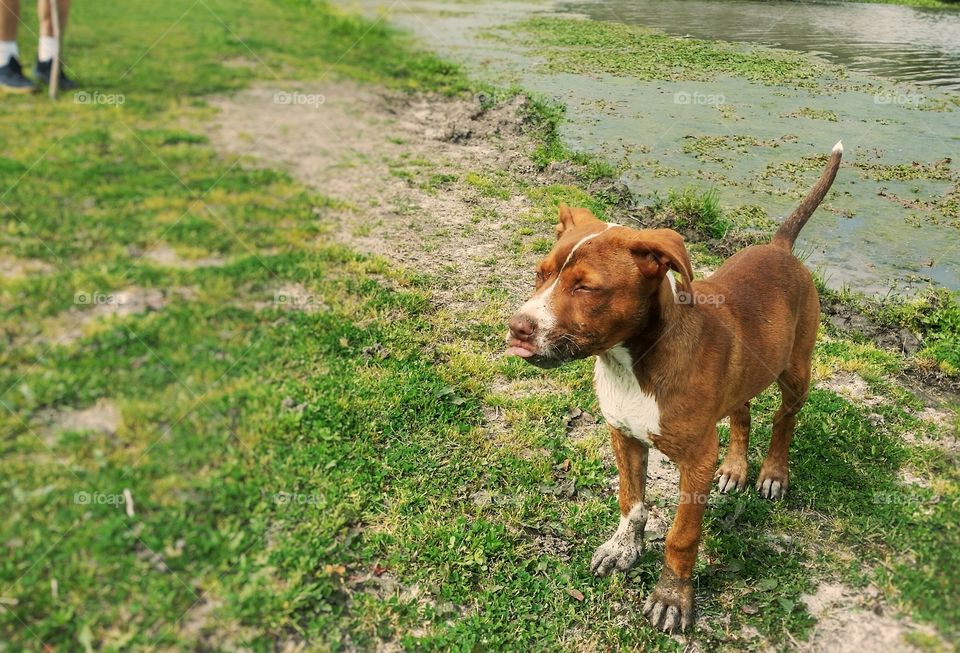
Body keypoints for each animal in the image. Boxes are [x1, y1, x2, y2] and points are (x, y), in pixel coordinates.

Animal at [506, 143, 844, 632]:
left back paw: (772, 473)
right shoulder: (624, 434)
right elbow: (632, 501)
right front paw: (623, 549)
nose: (517, 328)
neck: (631, 366)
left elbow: (682, 536)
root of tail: (779, 247)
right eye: (540, 274)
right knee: (742, 411)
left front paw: (672, 597)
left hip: (796, 369)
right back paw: (736, 467)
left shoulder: (696, 461)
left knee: (785, 419)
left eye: (586, 287)